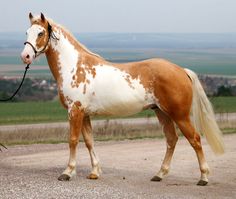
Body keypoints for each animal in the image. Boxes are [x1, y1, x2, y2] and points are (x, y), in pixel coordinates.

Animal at [21, 13, 224, 186]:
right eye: (27, 32)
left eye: (40, 32)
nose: (25, 56)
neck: (74, 67)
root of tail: (182, 70)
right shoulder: (85, 114)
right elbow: (89, 141)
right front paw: (94, 172)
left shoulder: (75, 111)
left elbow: (72, 140)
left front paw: (67, 172)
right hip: (162, 112)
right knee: (171, 139)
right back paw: (159, 174)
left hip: (179, 115)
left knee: (195, 139)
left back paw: (203, 177)